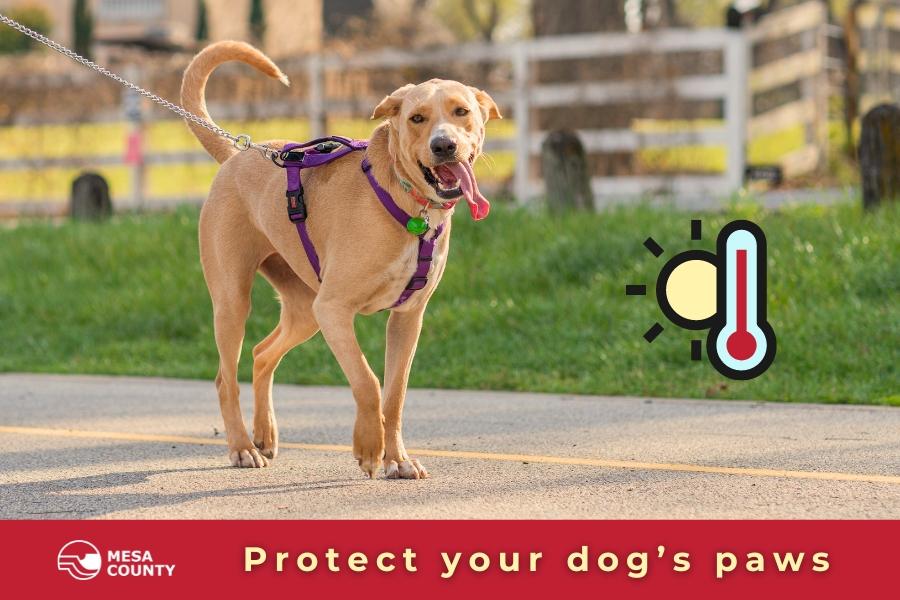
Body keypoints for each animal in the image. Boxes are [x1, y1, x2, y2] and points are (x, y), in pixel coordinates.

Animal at [176, 42, 500, 480]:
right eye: (416, 118)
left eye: (461, 111)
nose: (444, 145)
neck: (407, 204)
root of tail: (236, 154)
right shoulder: (334, 310)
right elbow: (367, 381)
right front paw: (369, 449)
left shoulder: (407, 319)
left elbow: (394, 395)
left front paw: (397, 458)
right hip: (235, 301)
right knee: (226, 379)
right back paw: (243, 447)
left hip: (304, 311)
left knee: (262, 354)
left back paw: (264, 433)